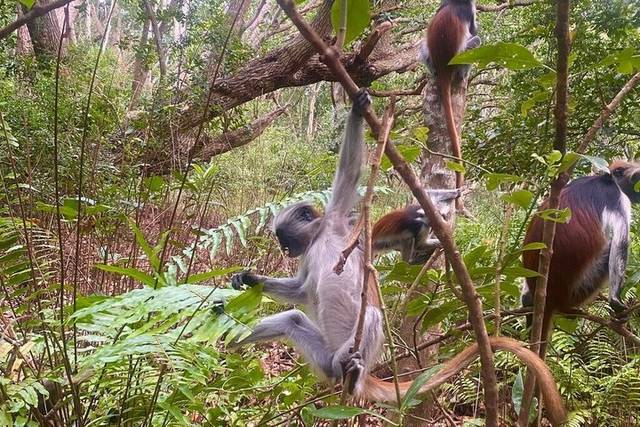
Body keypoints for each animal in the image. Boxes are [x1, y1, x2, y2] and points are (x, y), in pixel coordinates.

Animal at [230, 89, 566, 425]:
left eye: (284, 238)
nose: (285, 250)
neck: (319, 238)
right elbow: (301, 291)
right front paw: (247, 278)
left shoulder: (338, 218)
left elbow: (350, 172)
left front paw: (358, 108)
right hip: (324, 355)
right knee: (293, 319)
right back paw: (231, 338)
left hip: (354, 344)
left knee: (370, 316)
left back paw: (352, 375)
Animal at [422, 0, 481, 212]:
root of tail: (442, 64)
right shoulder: (469, 9)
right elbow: (473, 30)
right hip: (462, 56)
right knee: (477, 41)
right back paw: (463, 74)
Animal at [522, 160, 640, 358]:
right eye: (637, 178)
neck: (605, 178)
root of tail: (549, 297)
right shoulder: (617, 198)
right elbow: (620, 244)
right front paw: (615, 302)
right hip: (580, 287)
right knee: (609, 248)